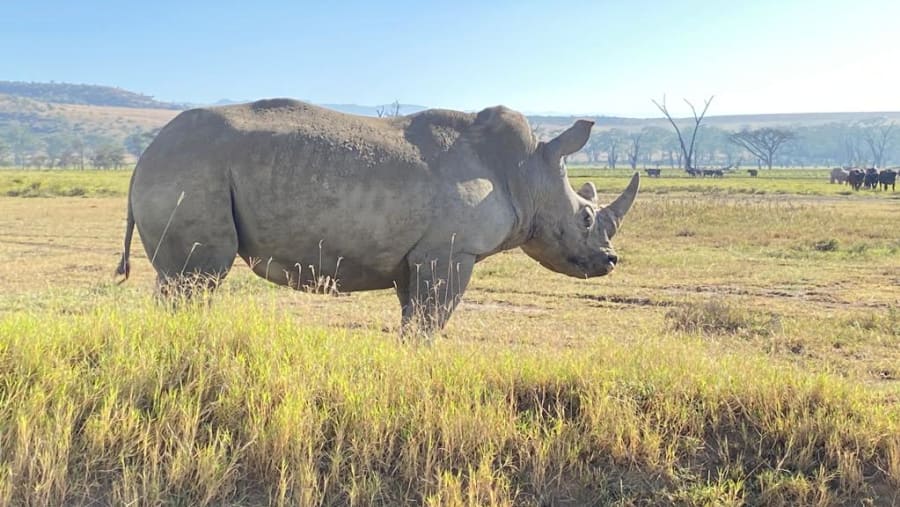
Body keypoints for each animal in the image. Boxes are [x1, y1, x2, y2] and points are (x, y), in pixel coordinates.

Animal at [116, 99, 639, 331]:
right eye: (586, 218)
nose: (610, 262)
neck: (528, 171)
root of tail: (144, 156)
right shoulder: (451, 251)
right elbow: (432, 320)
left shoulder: (420, 256)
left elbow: (414, 319)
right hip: (190, 168)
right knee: (198, 277)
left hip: (187, 166)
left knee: (181, 281)